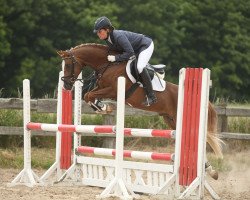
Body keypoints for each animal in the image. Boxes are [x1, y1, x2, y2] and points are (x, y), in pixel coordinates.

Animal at [57, 42, 224, 180]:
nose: (66, 86)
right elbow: (87, 95)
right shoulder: (101, 88)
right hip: (171, 120)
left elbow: (89, 95)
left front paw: (103, 107)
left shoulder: (113, 90)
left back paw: (208, 171)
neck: (107, 64)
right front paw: (102, 107)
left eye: (68, 65)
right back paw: (210, 171)